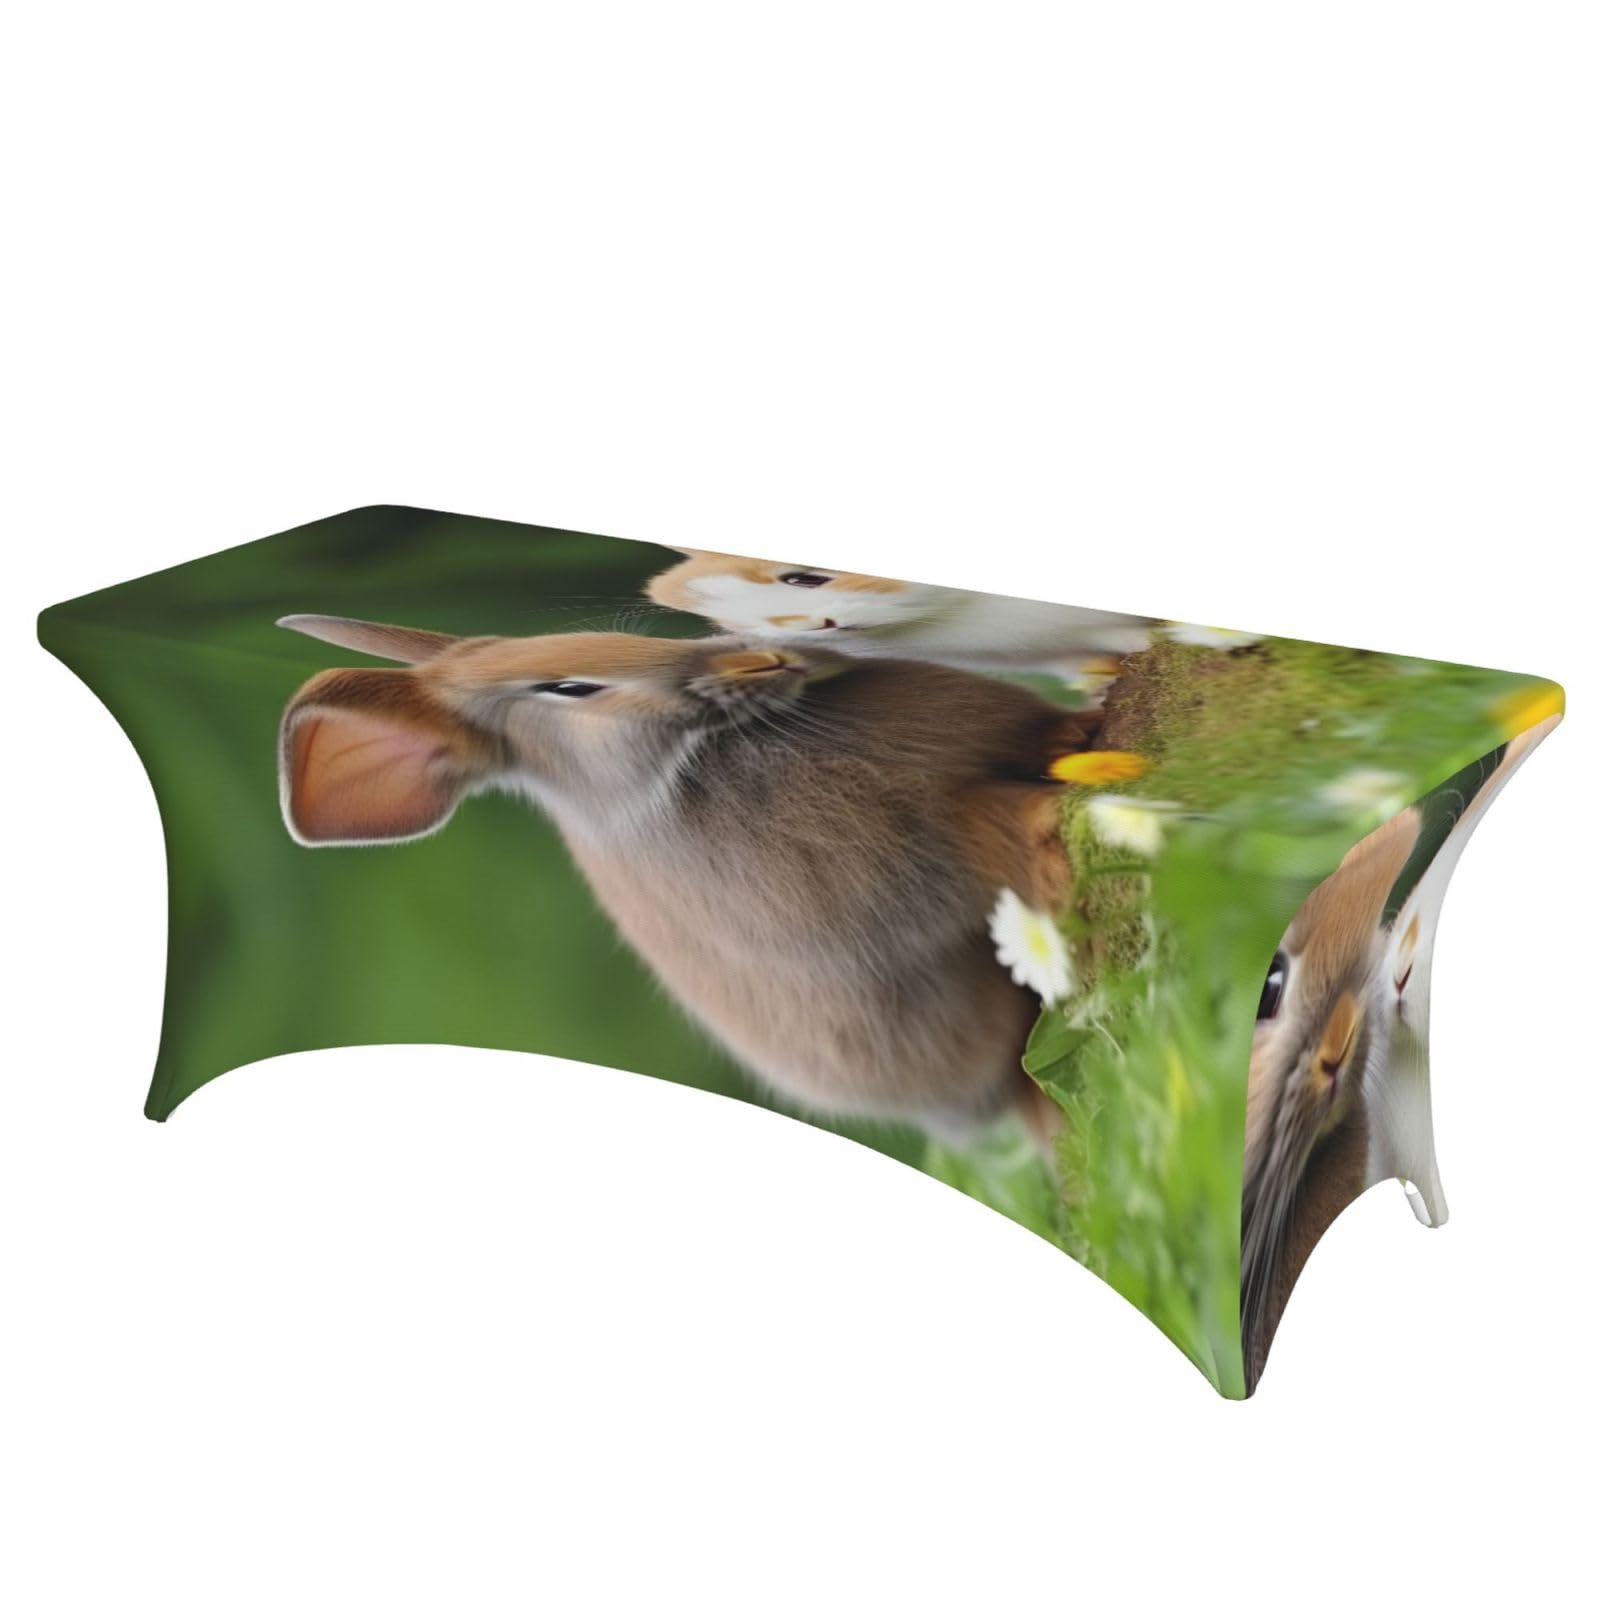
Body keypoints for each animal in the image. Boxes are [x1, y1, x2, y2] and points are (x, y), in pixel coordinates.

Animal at [275, 613, 1099, 1145]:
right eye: (568, 688)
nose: (759, 661)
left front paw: (1082, 731)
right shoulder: (927, 853)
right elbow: (996, 832)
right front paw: (1055, 827)